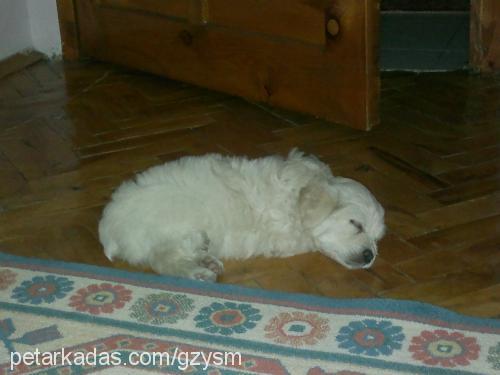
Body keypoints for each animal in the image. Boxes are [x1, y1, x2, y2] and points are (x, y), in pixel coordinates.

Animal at [98, 150, 386, 282]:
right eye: (356, 224)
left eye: (377, 239)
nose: (369, 256)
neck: (296, 199)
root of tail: (108, 230)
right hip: (173, 227)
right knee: (163, 259)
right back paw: (198, 271)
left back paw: (207, 260)